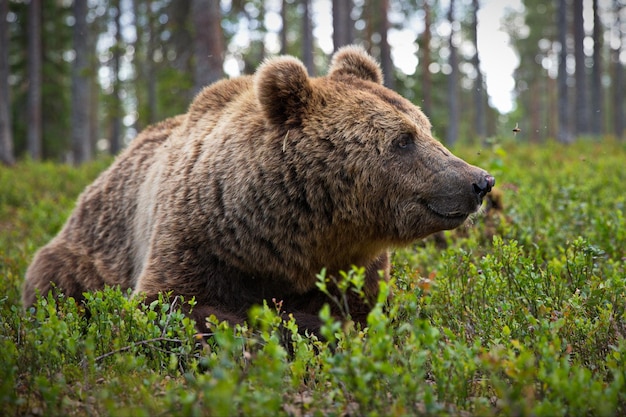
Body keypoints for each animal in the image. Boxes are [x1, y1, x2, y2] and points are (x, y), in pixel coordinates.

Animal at [23, 46, 492, 334]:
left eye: (427, 128)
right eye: (402, 139)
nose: (479, 180)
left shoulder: (357, 265)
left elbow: (367, 310)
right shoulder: (196, 240)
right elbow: (173, 305)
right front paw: (288, 321)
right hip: (84, 255)